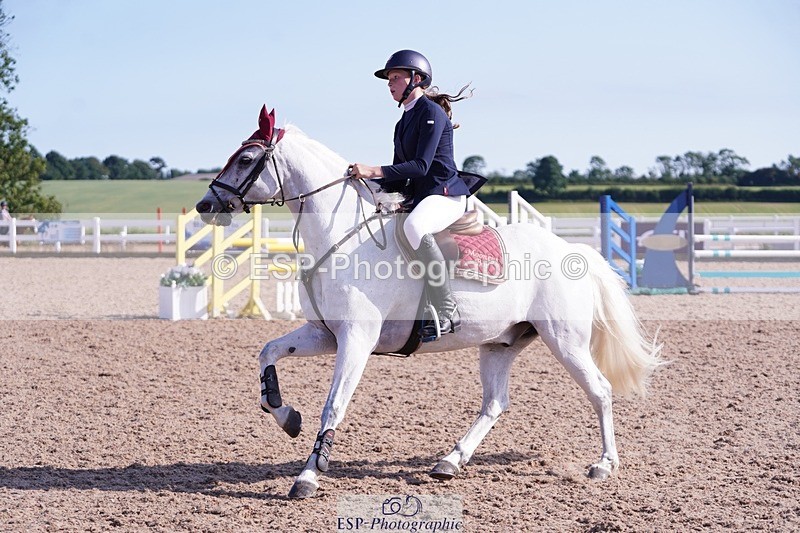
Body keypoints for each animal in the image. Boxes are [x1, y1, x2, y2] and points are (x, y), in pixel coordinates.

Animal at [195, 105, 662, 499]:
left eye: (246, 158)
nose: (205, 204)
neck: (340, 236)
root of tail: (573, 250)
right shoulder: (323, 333)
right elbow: (268, 354)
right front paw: (287, 416)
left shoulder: (357, 339)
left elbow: (334, 405)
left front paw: (308, 476)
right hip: (501, 342)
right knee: (495, 403)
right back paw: (450, 461)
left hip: (564, 339)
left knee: (599, 390)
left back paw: (604, 465)